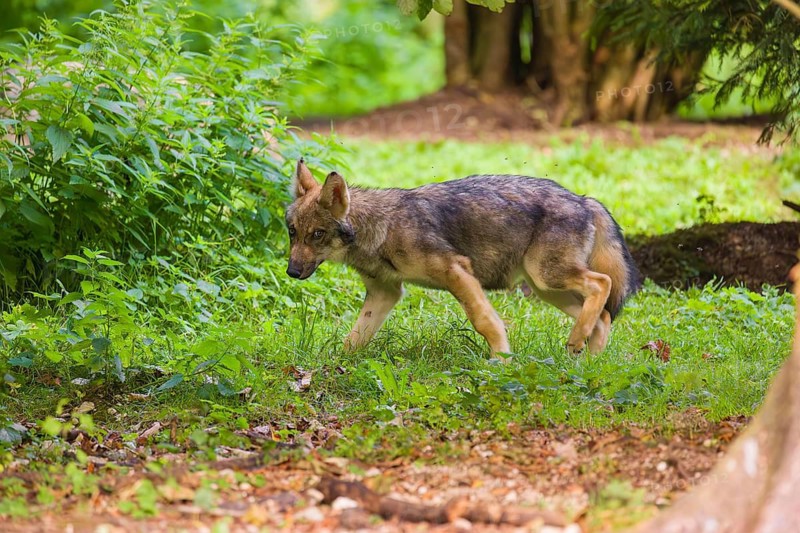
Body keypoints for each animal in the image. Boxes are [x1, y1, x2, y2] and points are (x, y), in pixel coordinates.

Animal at [284, 159, 640, 358]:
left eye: (317, 234)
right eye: (292, 232)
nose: (291, 272)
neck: (381, 229)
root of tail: (584, 199)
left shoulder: (457, 271)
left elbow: (486, 321)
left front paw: (500, 362)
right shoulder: (385, 293)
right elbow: (354, 338)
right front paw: (333, 367)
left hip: (548, 278)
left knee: (602, 284)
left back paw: (578, 346)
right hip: (547, 289)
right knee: (603, 317)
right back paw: (587, 363)